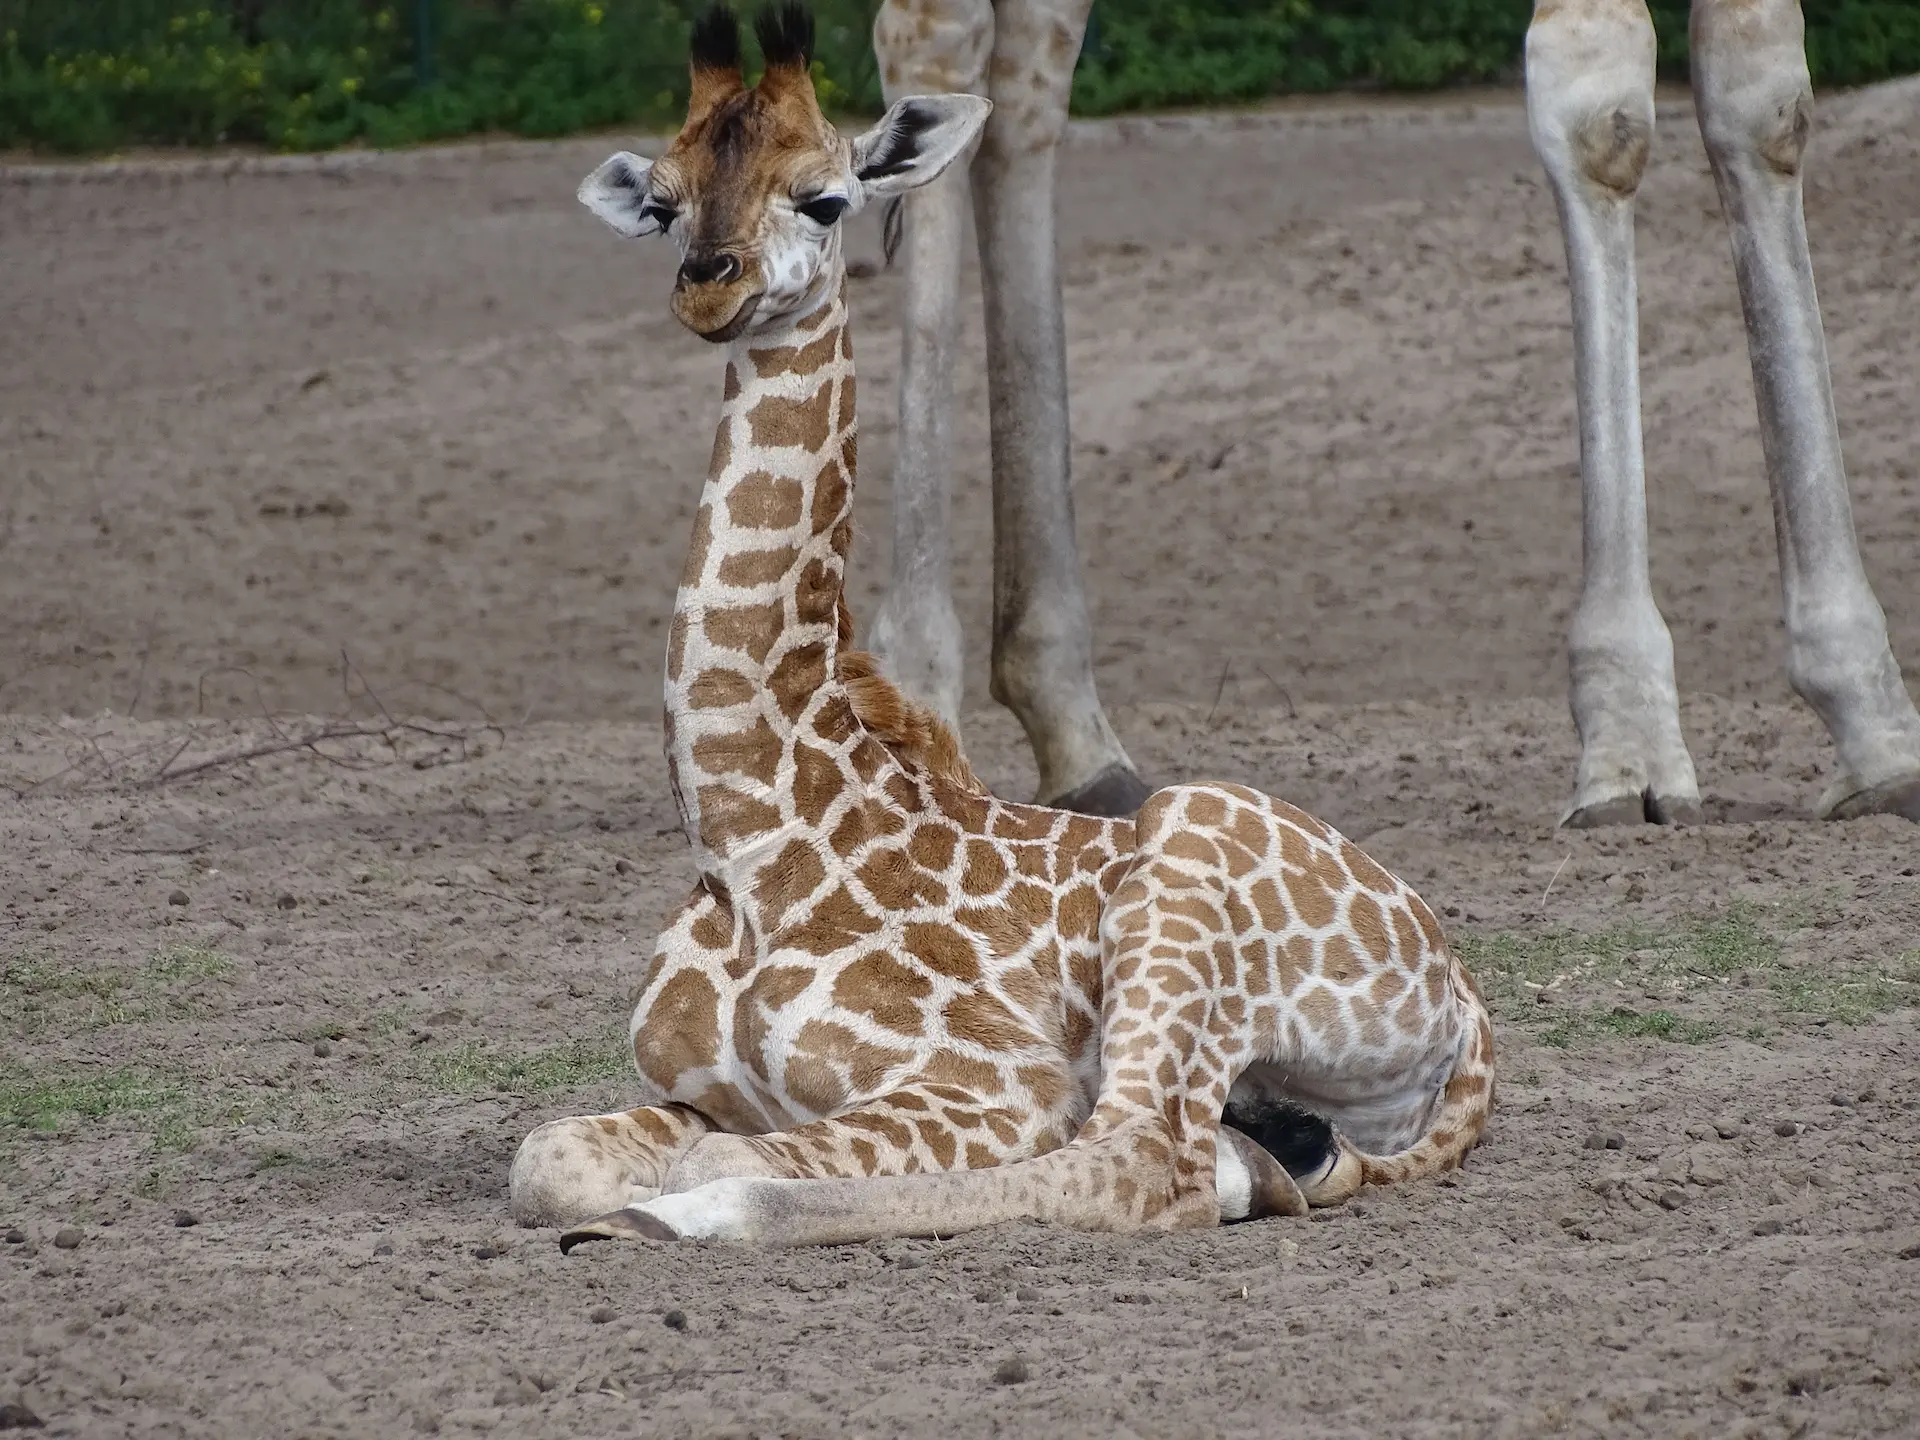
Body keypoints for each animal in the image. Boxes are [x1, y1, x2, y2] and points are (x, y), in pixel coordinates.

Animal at [508, 2, 1495, 1250]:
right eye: (666, 202)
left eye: (824, 197)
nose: (706, 286)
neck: (746, 830)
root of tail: (1465, 997)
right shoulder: (690, 1088)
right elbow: (545, 1155)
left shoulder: (990, 1081)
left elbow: (723, 1155)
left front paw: (684, 1203)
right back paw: (1267, 1157)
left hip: (1182, 883)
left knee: (1142, 1157)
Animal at [870, 0, 1920, 827]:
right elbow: (1601, 111)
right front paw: (1630, 735)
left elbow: (1764, 98)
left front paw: (1871, 719)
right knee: (938, 39)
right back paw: (916, 694)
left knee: (1027, 79)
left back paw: (1077, 736)